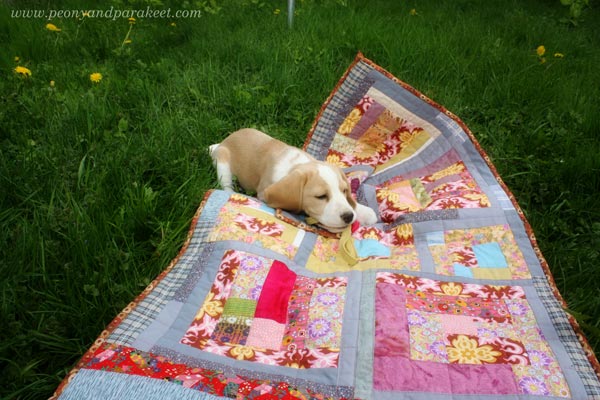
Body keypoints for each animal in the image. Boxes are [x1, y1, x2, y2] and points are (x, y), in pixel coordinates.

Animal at [209, 129, 378, 231]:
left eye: (344, 191)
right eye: (321, 197)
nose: (348, 217)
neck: (298, 164)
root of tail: (222, 142)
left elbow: (352, 203)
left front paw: (364, 212)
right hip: (223, 164)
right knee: (226, 183)